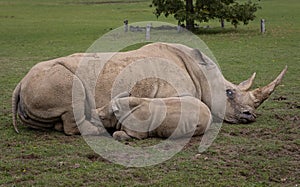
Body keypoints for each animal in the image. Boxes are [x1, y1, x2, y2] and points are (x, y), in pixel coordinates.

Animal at [11, 42, 288, 139]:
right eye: (229, 93)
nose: (250, 116)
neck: (203, 74)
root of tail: (19, 84)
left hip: (38, 82)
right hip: (53, 78)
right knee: (73, 93)